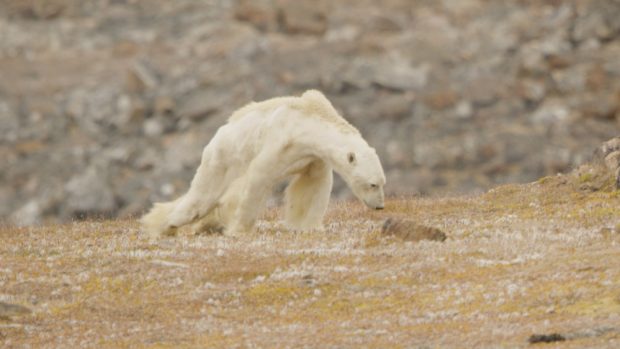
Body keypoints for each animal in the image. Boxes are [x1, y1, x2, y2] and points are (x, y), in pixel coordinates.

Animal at [142, 88, 386, 238]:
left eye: (383, 183)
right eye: (373, 184)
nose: (380, 206)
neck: (308, 122)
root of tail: (217, 135)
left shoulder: (313, 156)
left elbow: (313, 186)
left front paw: (310, 226)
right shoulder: (280, 142)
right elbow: (258, 178)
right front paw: (239, 229)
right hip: (222, 159)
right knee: (201, 198)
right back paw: (166, 225)